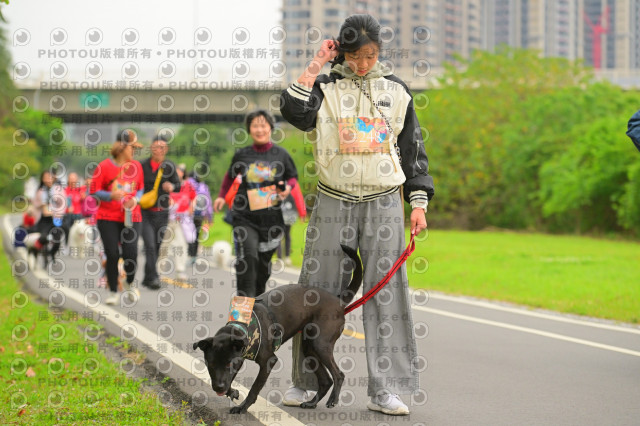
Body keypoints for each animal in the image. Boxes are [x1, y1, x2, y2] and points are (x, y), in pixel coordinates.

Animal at [192, 245, 362, 414]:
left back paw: (333, 399)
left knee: (339, 374)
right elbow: (230, 379)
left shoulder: (268, 361)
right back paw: (311, 403)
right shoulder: (239, 357)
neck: (245, 327)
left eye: (228, 364)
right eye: (210, 364)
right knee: (326, 380)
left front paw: (243, 407)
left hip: (321, 344)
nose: (217, 388)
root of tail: (338, 301)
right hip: (310, 348)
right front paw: (232, 392)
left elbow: (254, 388)